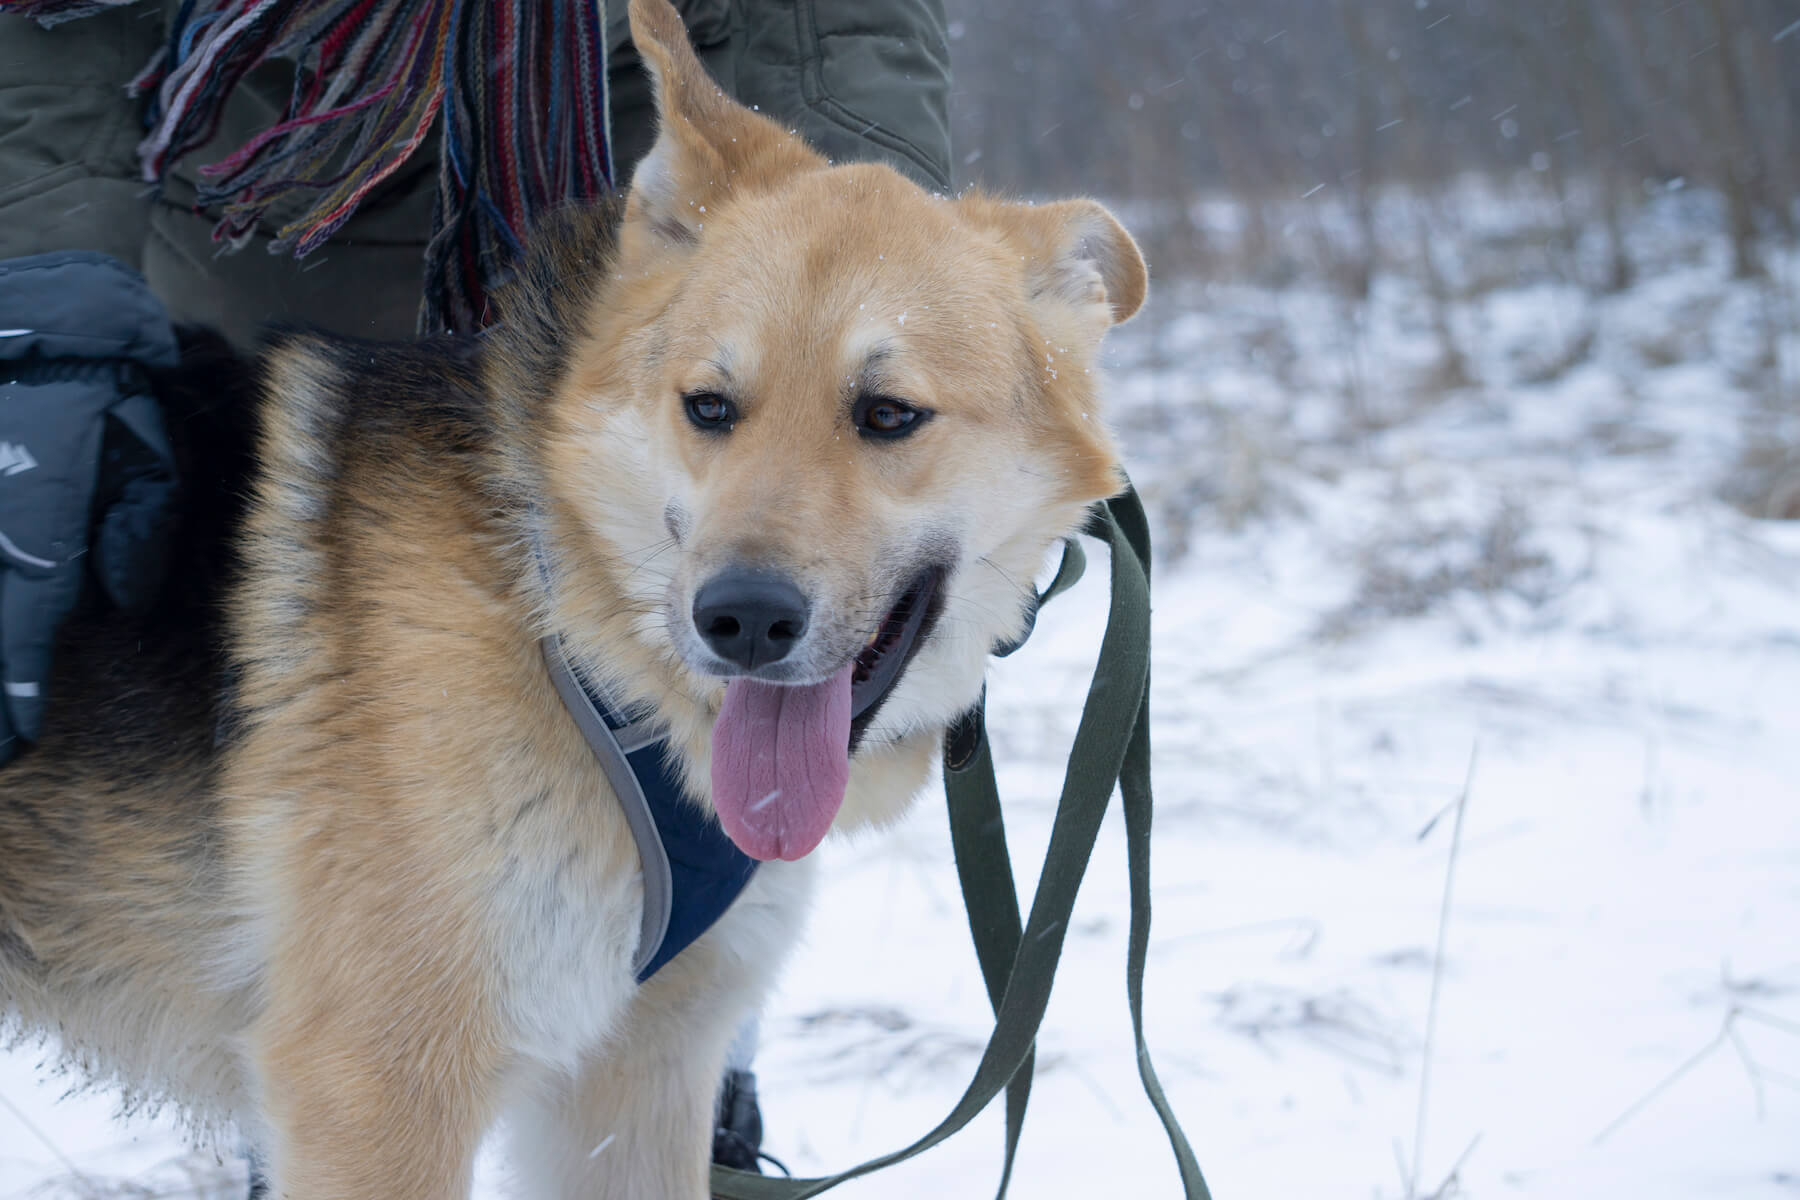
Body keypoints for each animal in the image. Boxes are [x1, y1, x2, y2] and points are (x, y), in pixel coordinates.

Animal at [0, 4, 1144, 1194]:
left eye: (887, 415)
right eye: (708, 406)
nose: (740, 620)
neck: (572, 626)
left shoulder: (642, 1075)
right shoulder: (376, 1093)